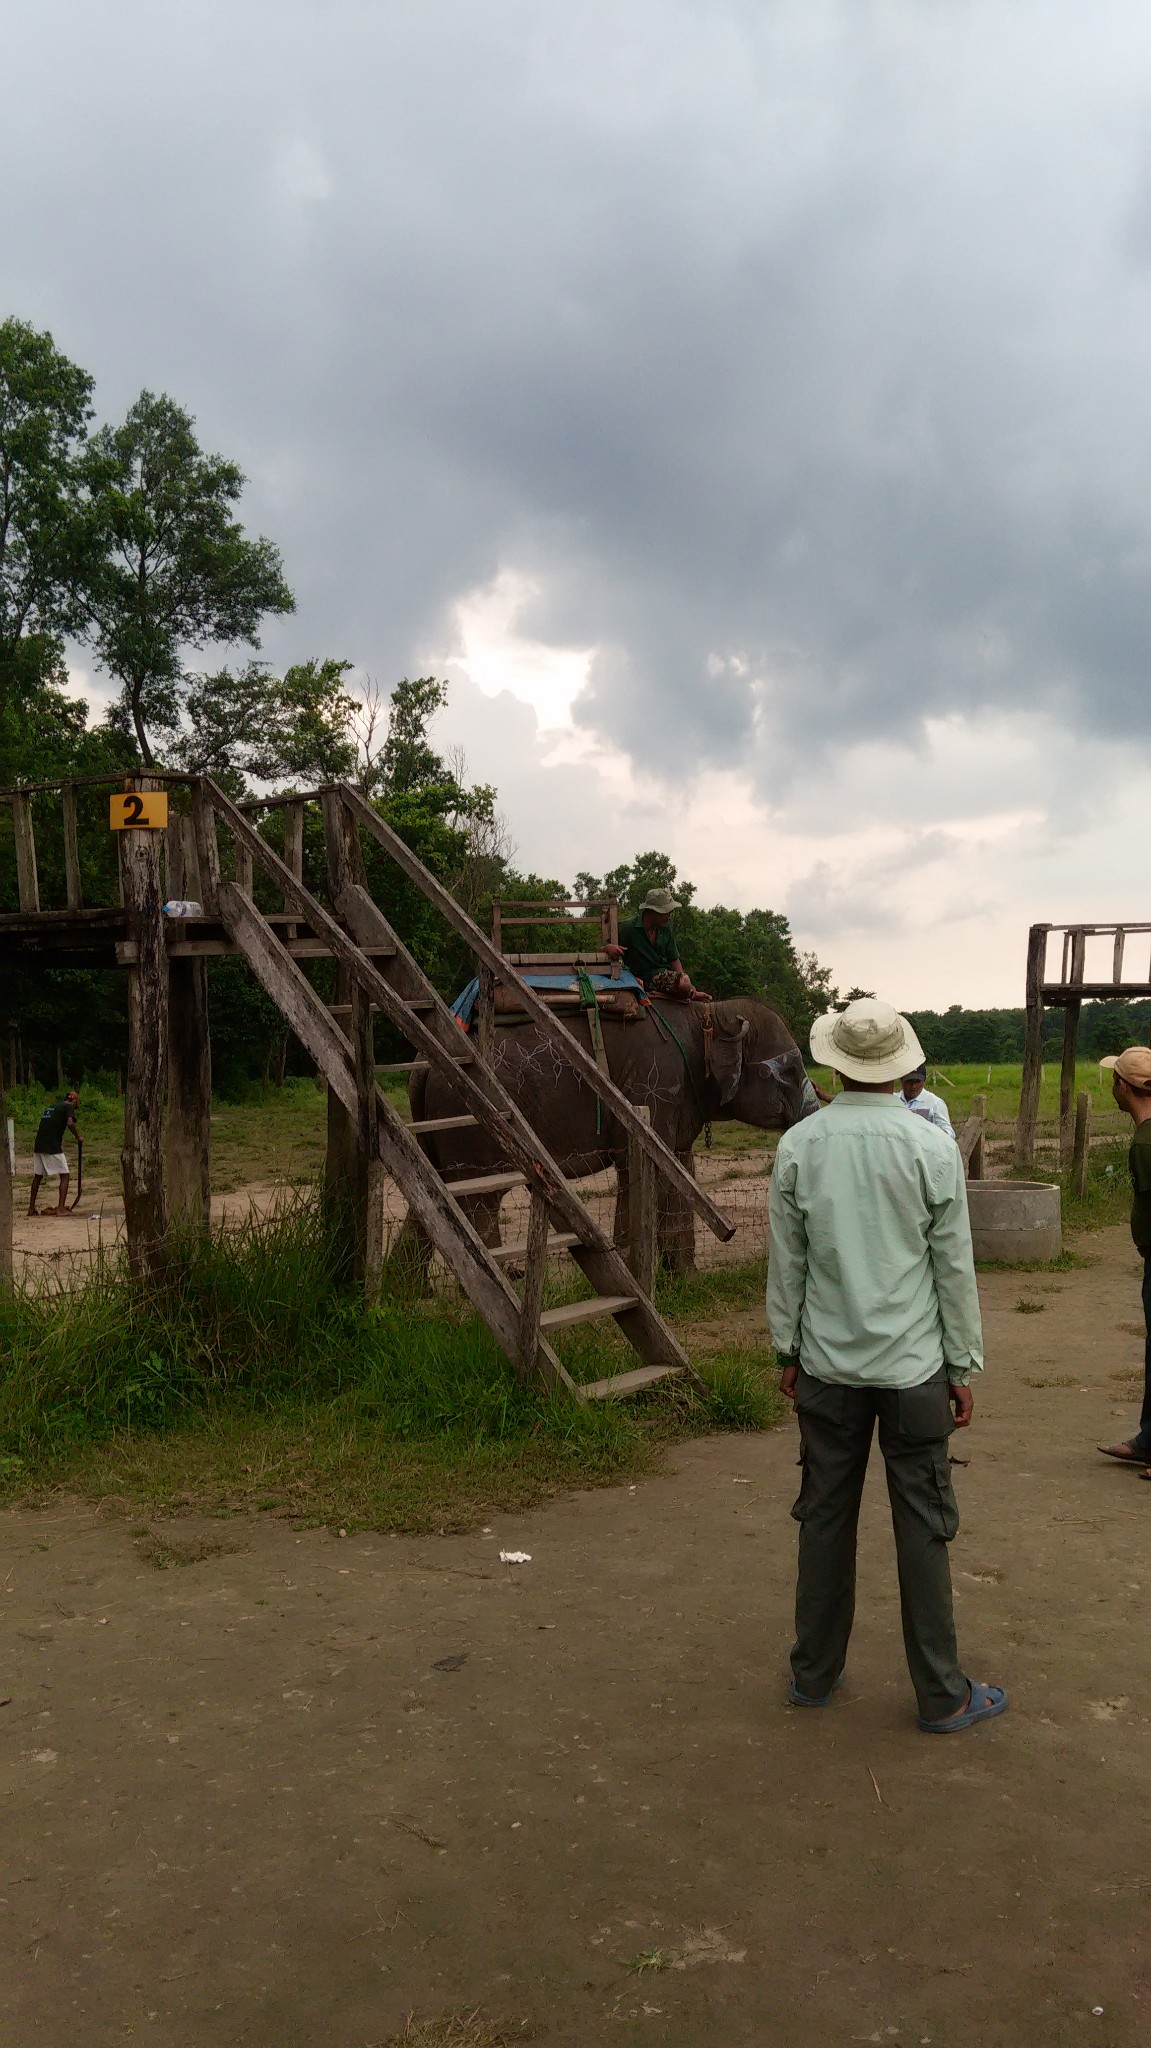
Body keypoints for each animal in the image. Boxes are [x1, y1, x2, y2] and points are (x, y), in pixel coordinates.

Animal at [403, 999, 815, 1269]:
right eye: (791, 1070)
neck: (711, 1014)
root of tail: (421, 1066)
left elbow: (679, 1168)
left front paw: (683, 1281)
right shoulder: (652, 1086)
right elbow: (640, 1167)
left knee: (431, 1196)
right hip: (467, 1120)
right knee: (479, 1199)